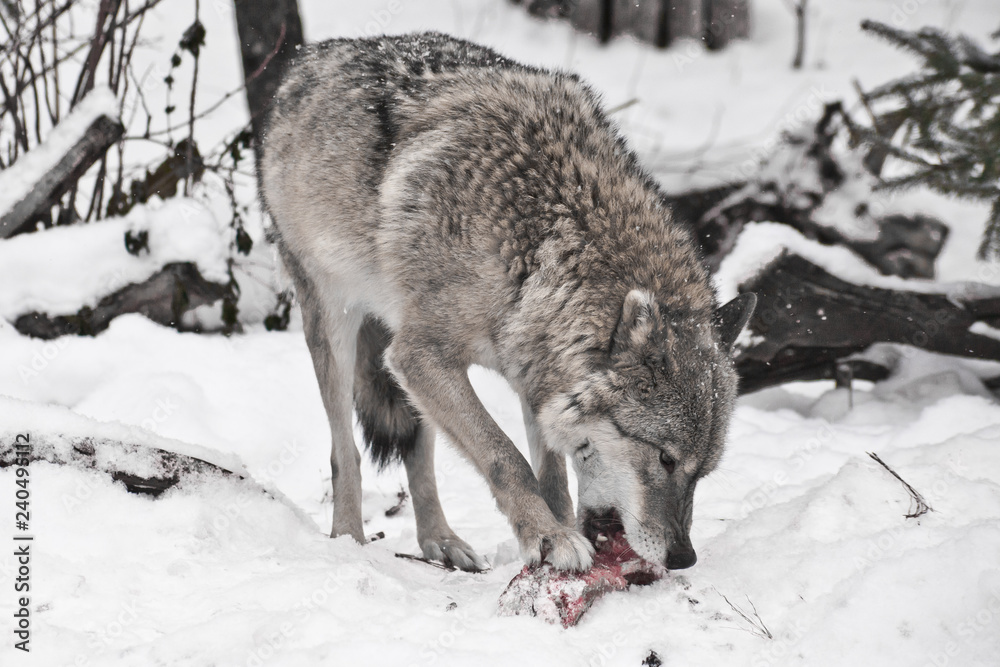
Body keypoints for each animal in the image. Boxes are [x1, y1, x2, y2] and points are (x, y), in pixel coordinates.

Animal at [259, 32, 755, 573]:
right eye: (665, 458)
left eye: (702, 472)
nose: (684, 557)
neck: (542, 244)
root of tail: (309, 56)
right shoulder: (423, 355)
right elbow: (506, 458)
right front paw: (549, 538)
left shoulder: (531, 372)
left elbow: (552, 475)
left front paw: (559, 530)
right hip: (338, 326)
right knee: (343, 452)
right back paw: (349, 542)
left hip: (403, 368)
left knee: (419, 453)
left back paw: (442, 542)